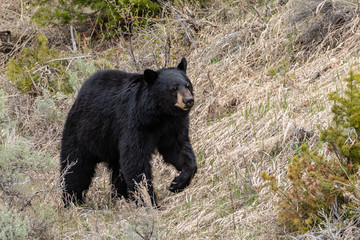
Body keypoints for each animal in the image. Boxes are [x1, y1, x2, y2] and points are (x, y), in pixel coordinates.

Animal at [60, 58, 198, 206]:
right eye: (173, 88)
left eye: (188, 85)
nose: (188, 100)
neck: (160, 115)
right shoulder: (134, 124)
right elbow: (135, 161)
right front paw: (149, 201)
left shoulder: (173, 126)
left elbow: (178, 150)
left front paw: (177, 183)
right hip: (83, 133)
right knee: (75, 169)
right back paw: (72, 201)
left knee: (118, 172)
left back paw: (121, 197)